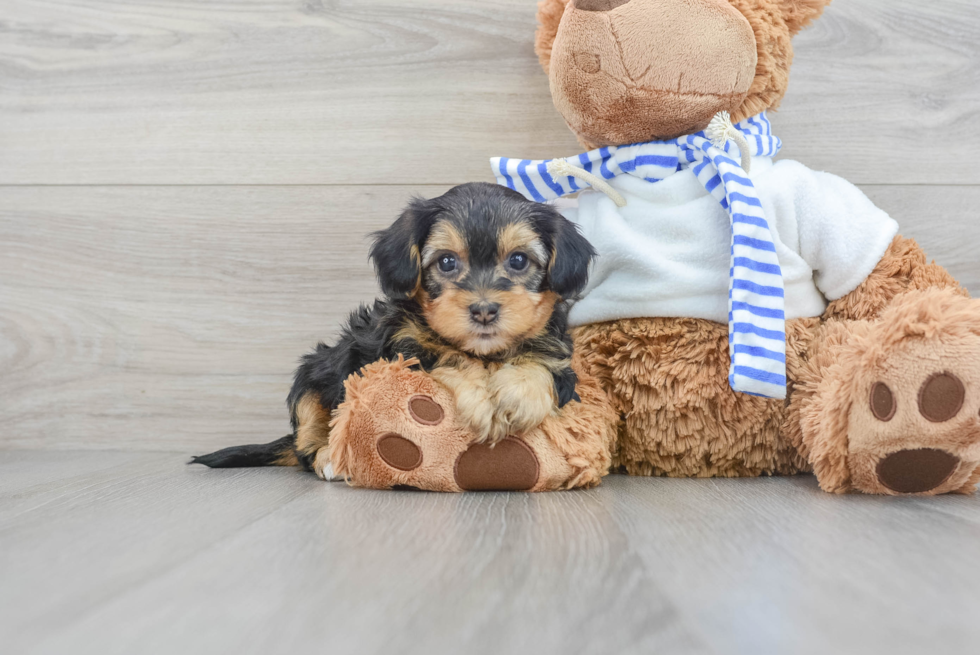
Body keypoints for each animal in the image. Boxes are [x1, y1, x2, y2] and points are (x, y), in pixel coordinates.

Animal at [189, 182, 592, 480]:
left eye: (519, 260)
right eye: (447, 262)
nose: (483, 310)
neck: (485, 352)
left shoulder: (558, 356)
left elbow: (541, 363)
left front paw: (517, 395)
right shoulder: (399, 347)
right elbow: (447, 355)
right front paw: (481, 398)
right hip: (312, 375)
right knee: (307, 438)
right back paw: (328, 458)